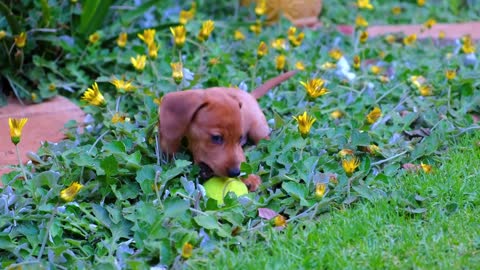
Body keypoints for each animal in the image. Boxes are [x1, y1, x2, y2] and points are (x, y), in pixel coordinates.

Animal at [159, 70, 298, 191]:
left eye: (239, 139)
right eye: (216, 138)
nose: (235, 172)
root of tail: (249, 95)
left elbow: (241, 159)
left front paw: (250, 178)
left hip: (259, 130)